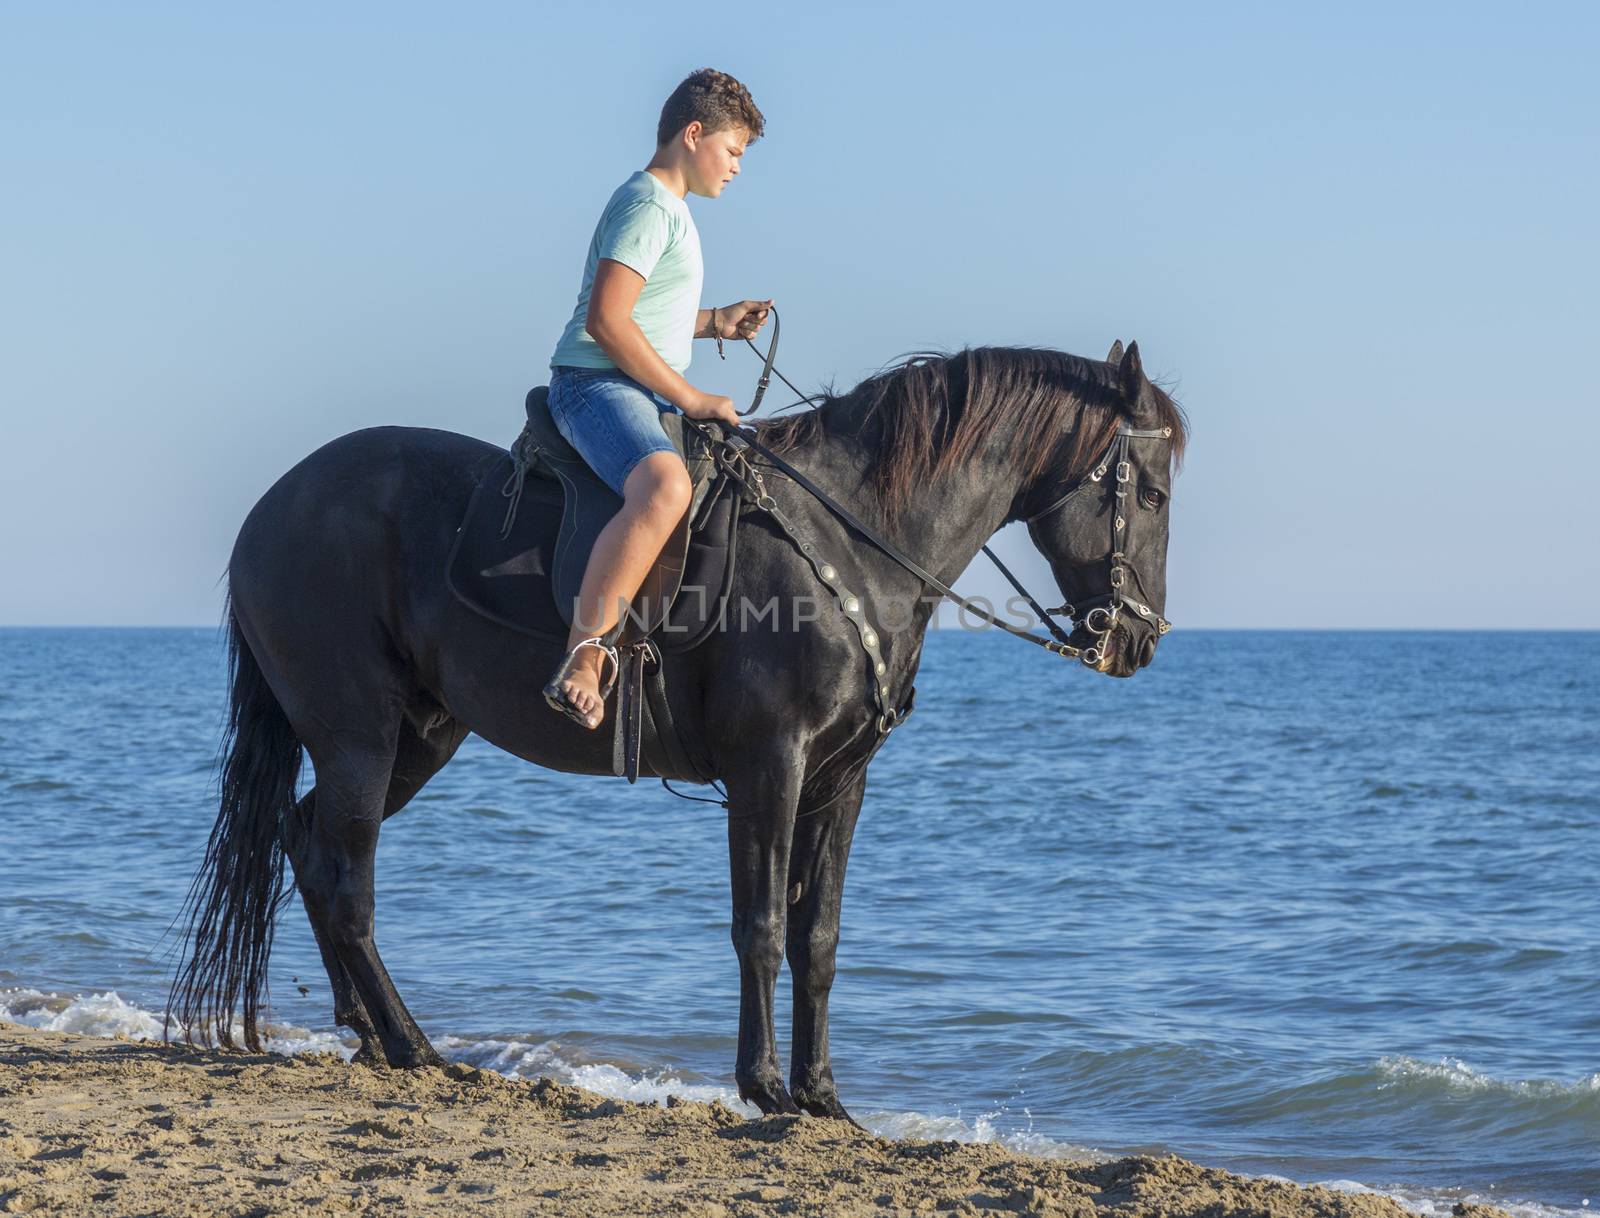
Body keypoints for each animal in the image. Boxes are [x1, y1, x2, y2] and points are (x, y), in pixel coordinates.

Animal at [168, 337, 1184, 1113]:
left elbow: (820, 938)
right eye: (1155, 493)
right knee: (348, 882)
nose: (1137, 639)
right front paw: (766, 1088)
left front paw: (823, 1095)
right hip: (361, 735)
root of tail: (272, 508)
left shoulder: (841, 780)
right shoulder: (769, 766)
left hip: (418, 737)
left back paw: (371, 1036)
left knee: (309, 845)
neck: (855, 539)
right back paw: (413, 1045)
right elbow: (761, 928)